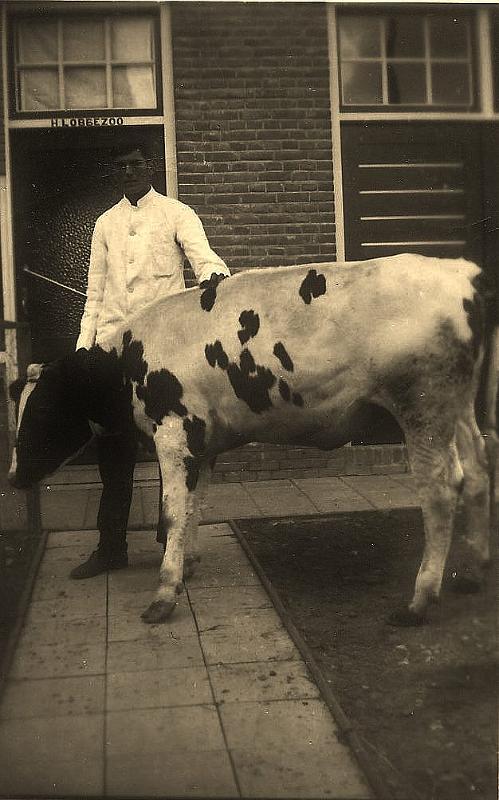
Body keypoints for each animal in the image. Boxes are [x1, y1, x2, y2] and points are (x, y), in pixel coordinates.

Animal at [8, 254, 497, 626]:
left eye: (43, 412)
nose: (12, 478)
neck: (129, 361)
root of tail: (461, 272)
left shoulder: (174, 432)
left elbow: (172, 512)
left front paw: (164, 595)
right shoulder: (201, 444)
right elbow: (193, 507)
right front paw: (186, 565)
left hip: (423, 406)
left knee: (440, 488)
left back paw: (418, 602)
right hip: (459, 407)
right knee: (476, 471)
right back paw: (474, 574)